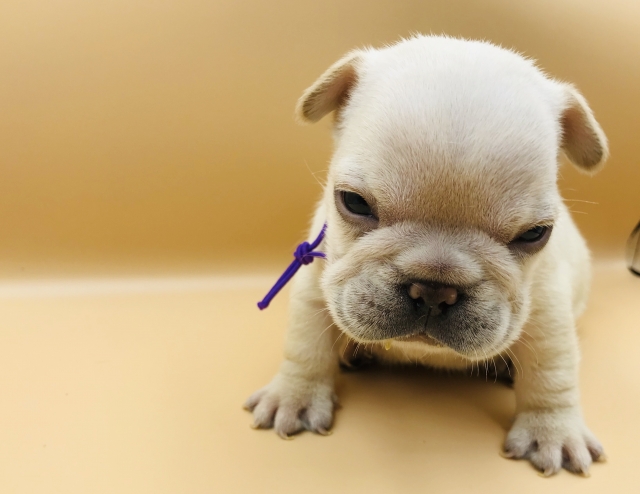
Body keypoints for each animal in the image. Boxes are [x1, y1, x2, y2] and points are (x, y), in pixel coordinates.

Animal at [245, 35, 607, 476]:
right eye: (354, 202)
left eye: (534, 234)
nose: (435, 289)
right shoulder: (317, 283)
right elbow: (305, 344)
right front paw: (294, 397)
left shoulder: (547, 311)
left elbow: (552, 372)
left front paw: (552, 431)